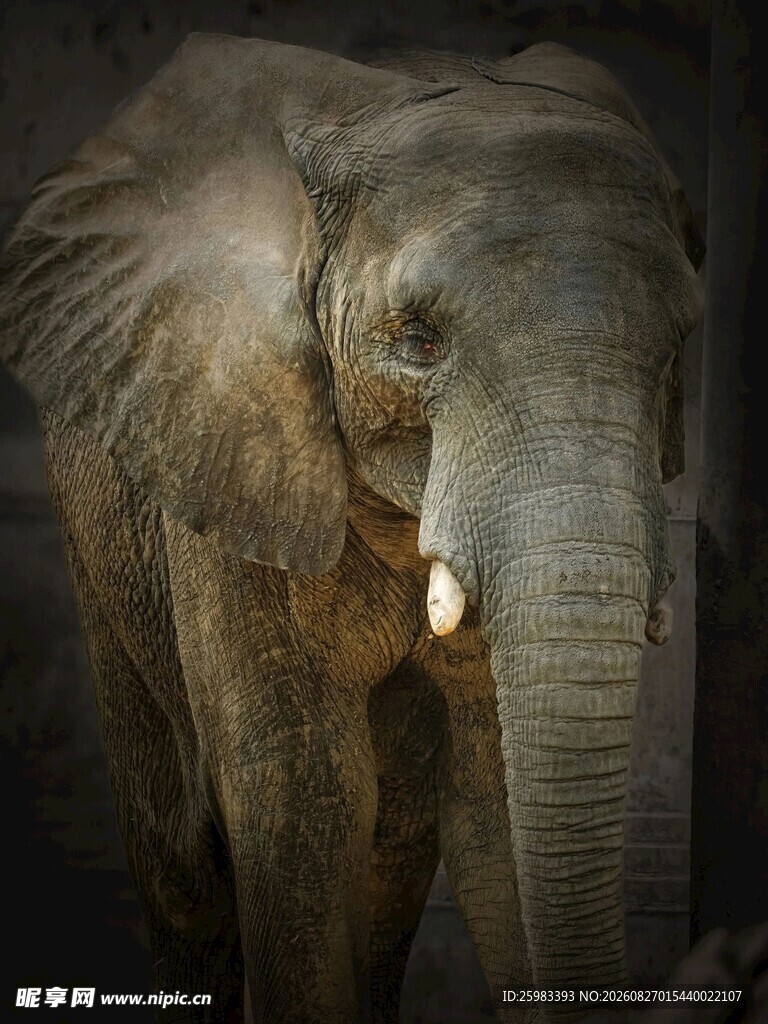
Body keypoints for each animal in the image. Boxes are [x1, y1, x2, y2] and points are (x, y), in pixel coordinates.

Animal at [0, 33, 704, 1024]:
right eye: (418, 341)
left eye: (678, 347)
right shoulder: (229, 451)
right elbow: (303, 798)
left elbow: (494, 800)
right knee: (185, 868)